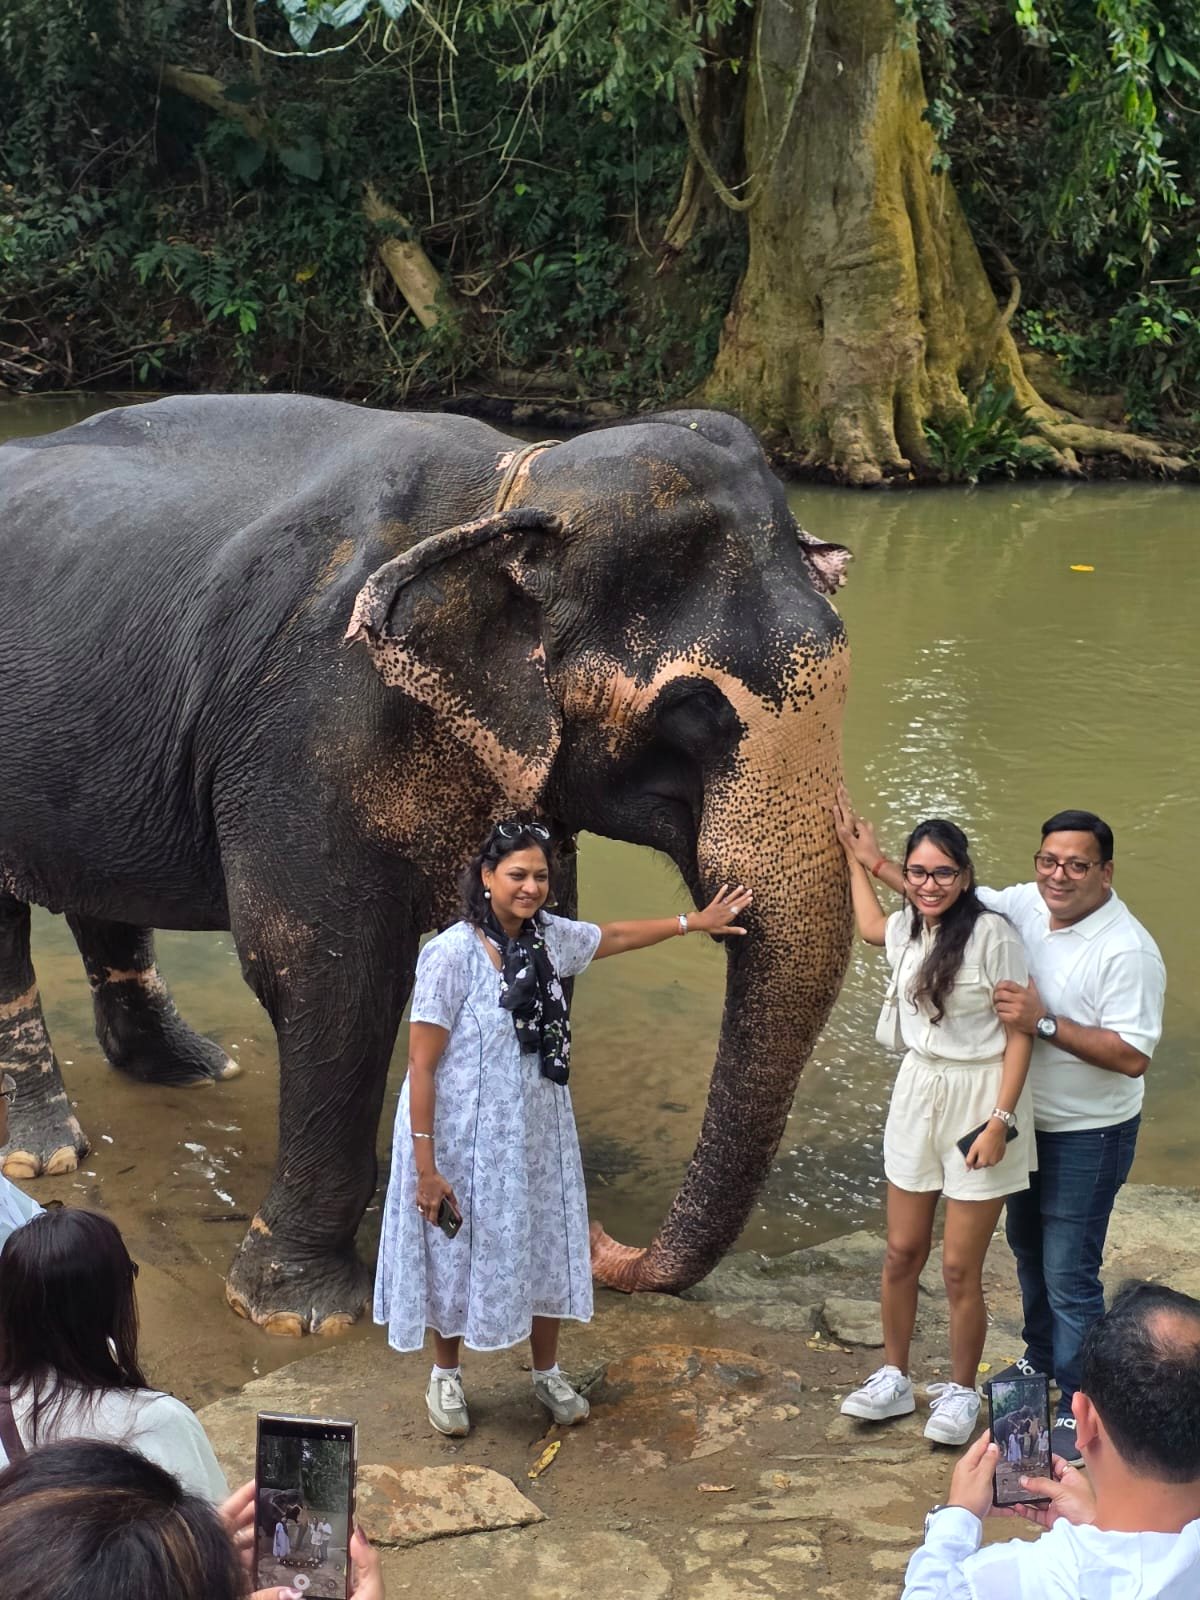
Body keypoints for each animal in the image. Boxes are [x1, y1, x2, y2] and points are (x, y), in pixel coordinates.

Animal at [0, 393, 852, 1332]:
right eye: (696, 708)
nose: (610, 1248)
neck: (516, 482)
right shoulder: (305, 730)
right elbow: (328, 972)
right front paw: (301, 1314)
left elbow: (539, 943)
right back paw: (45, 1155)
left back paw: (190, 1069)